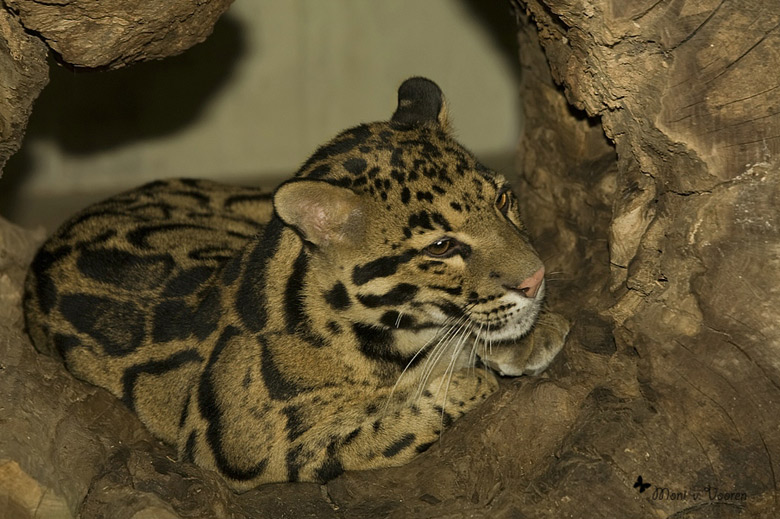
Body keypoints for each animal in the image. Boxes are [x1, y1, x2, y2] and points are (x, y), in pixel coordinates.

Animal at [22, 77, 568, 492]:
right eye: (440, 247)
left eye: (503, 200)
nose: (535, 278)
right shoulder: (247, 442)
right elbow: (381, 425)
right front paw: (465, 375)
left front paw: (530, 333)